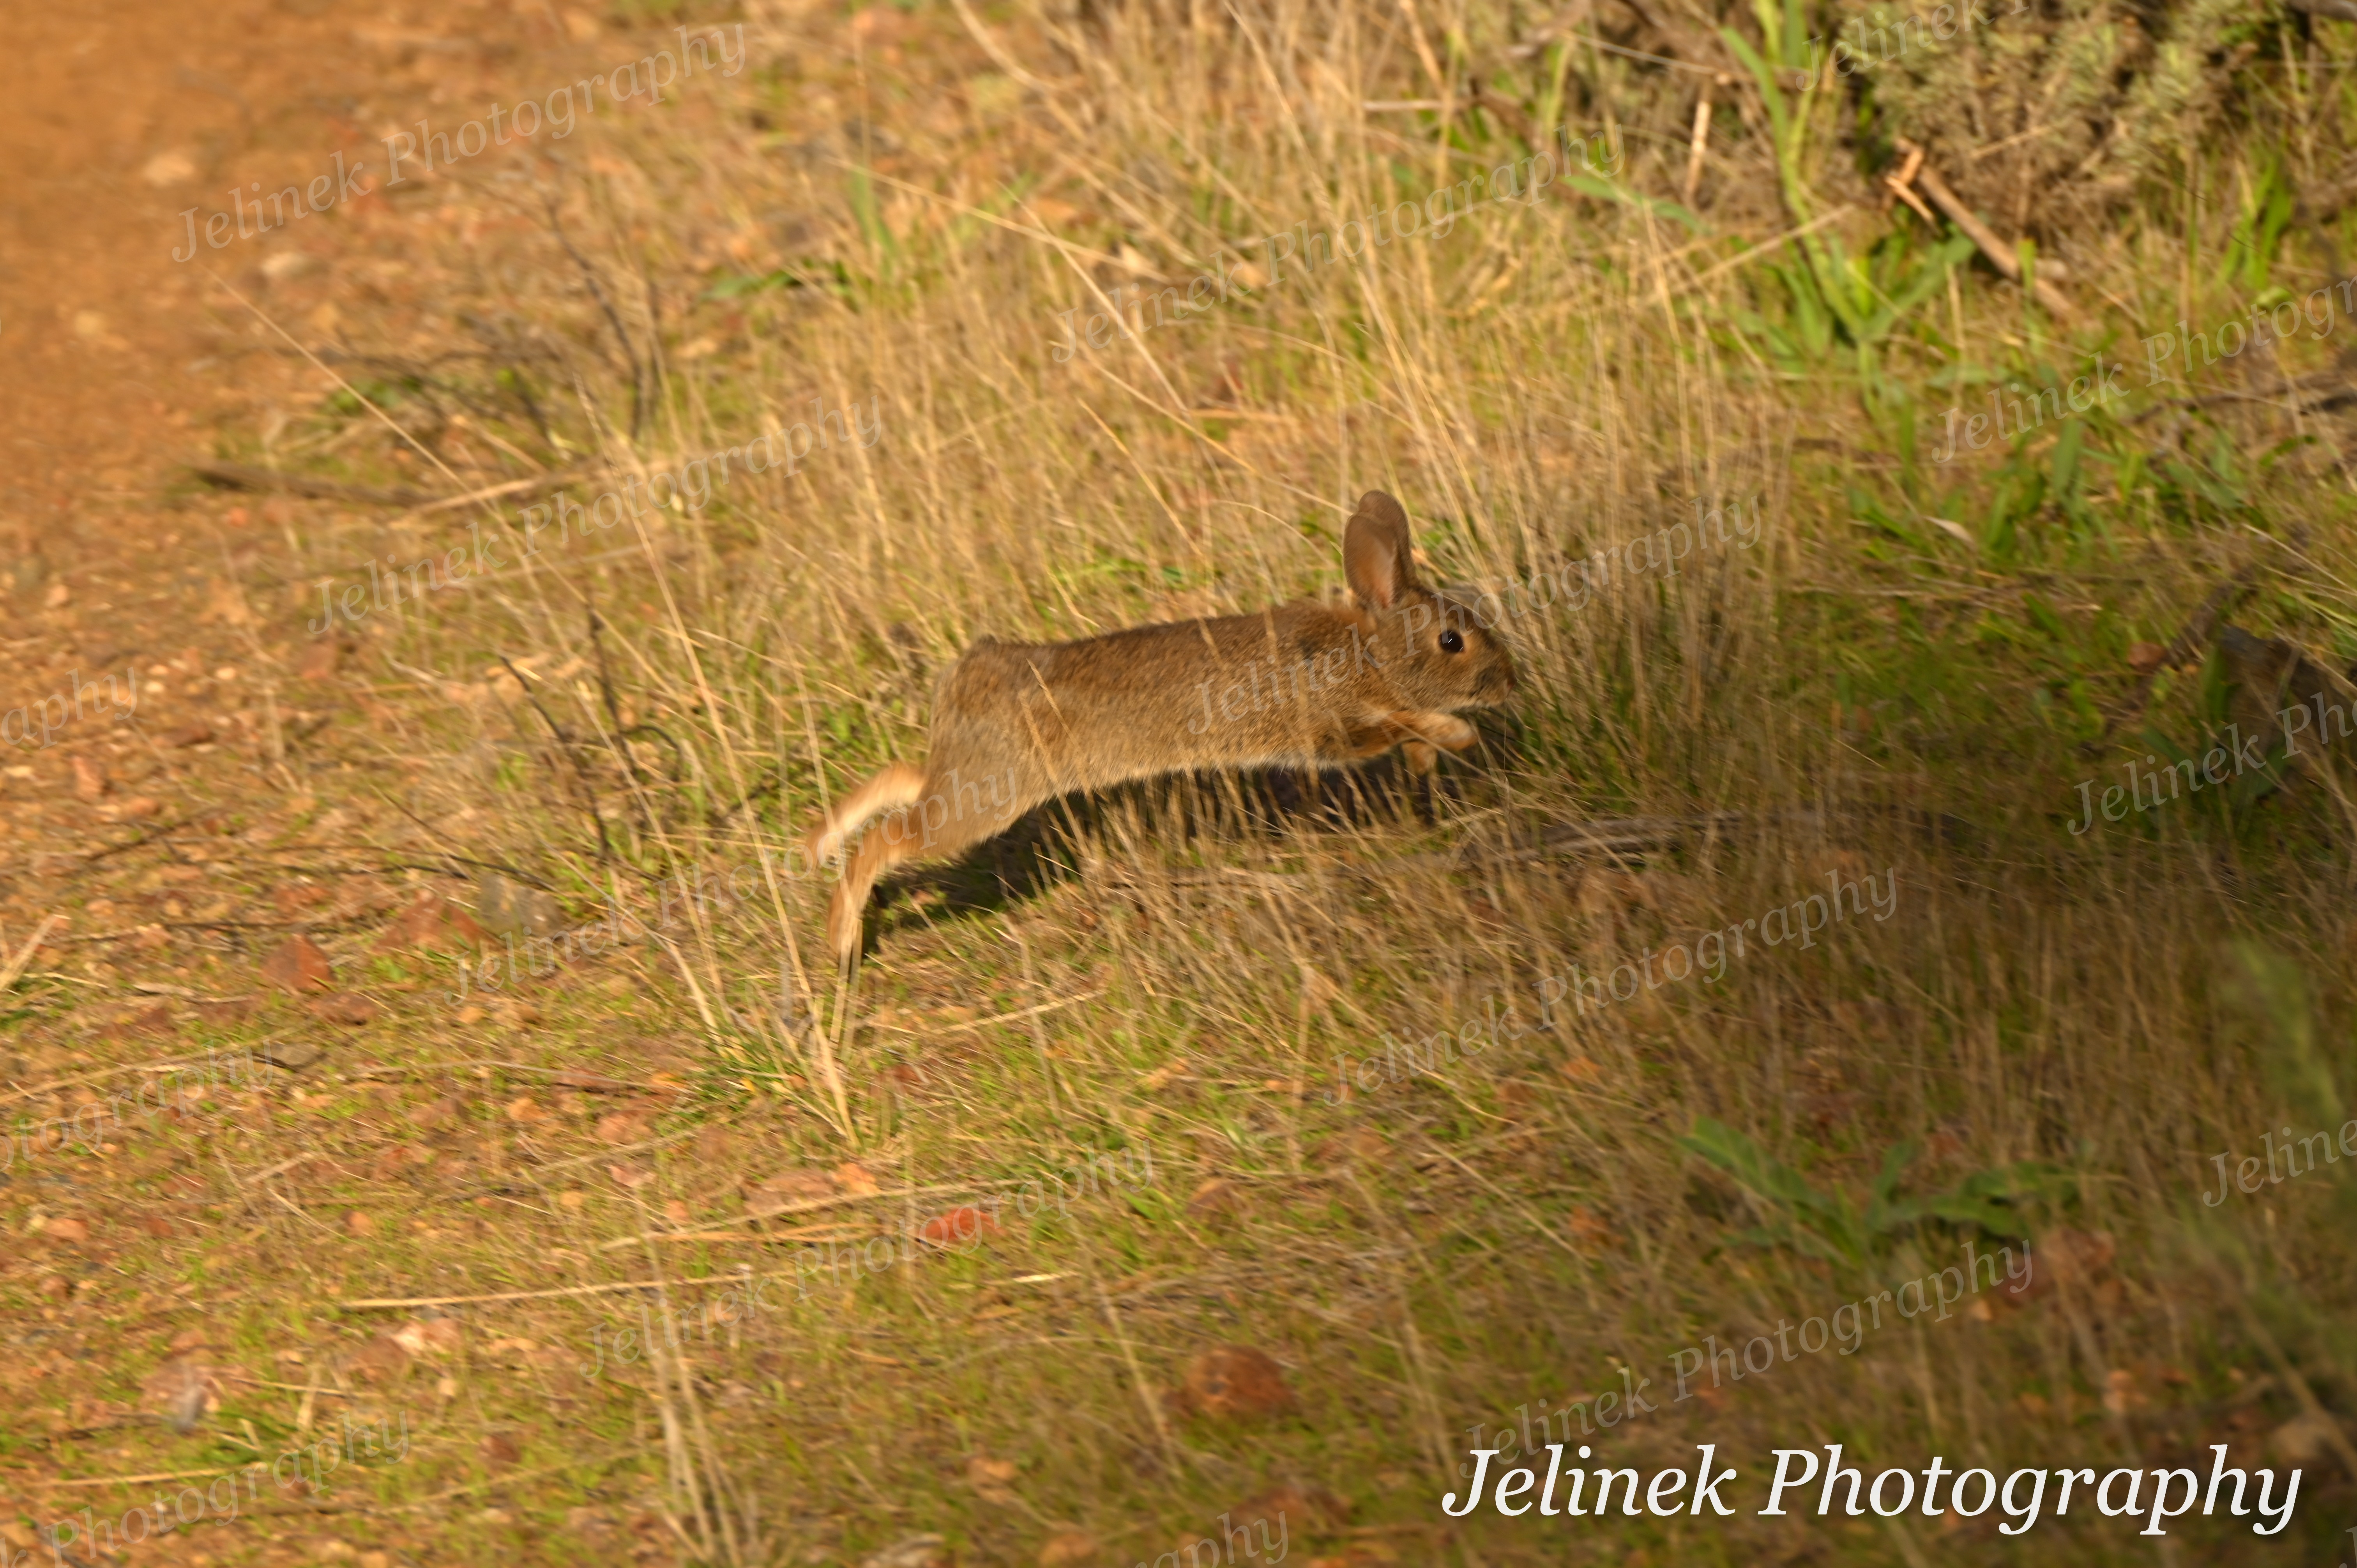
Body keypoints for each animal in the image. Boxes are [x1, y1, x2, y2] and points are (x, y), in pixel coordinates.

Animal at [803, 490, 1517, 962]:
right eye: (1452, 640)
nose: (1511, 680)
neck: (1365, 651)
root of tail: (962, 678)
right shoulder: (1329, 729)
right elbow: (1393, 728)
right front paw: (1457, 735)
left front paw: (1439, 755)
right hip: (982, 802)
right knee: (886, 840)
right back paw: (842, 941)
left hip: (968, 780)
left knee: (903, 780)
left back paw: (823, 846)